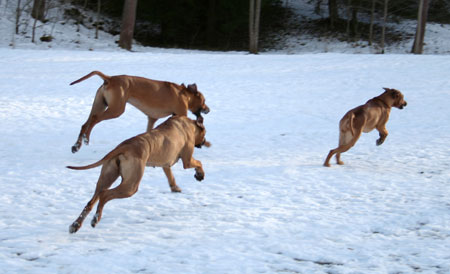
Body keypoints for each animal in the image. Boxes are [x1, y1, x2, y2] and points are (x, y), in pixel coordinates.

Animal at [66, 115, 209, 233]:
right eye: (204, 133)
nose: (204, 142)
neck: (188, 124)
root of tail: (124, 146)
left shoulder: (167, 163)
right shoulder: (187, 160)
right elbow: (199, 163)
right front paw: (200, 174)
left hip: (107, 177)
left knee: (92, 201)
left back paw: (75, 225)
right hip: (131, 185)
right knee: (104, 195)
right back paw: (96, 218)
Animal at [69, 70, 210, 153]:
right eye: (204, 100)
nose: (208, 109)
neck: (184, 93)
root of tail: (110, 78)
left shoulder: (151, 119)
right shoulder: (181, 113)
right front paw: (205, 142)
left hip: (100, 105)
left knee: (85, 123)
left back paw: (76, 145)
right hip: (116, 109)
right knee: (94, 119)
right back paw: (86, 138)